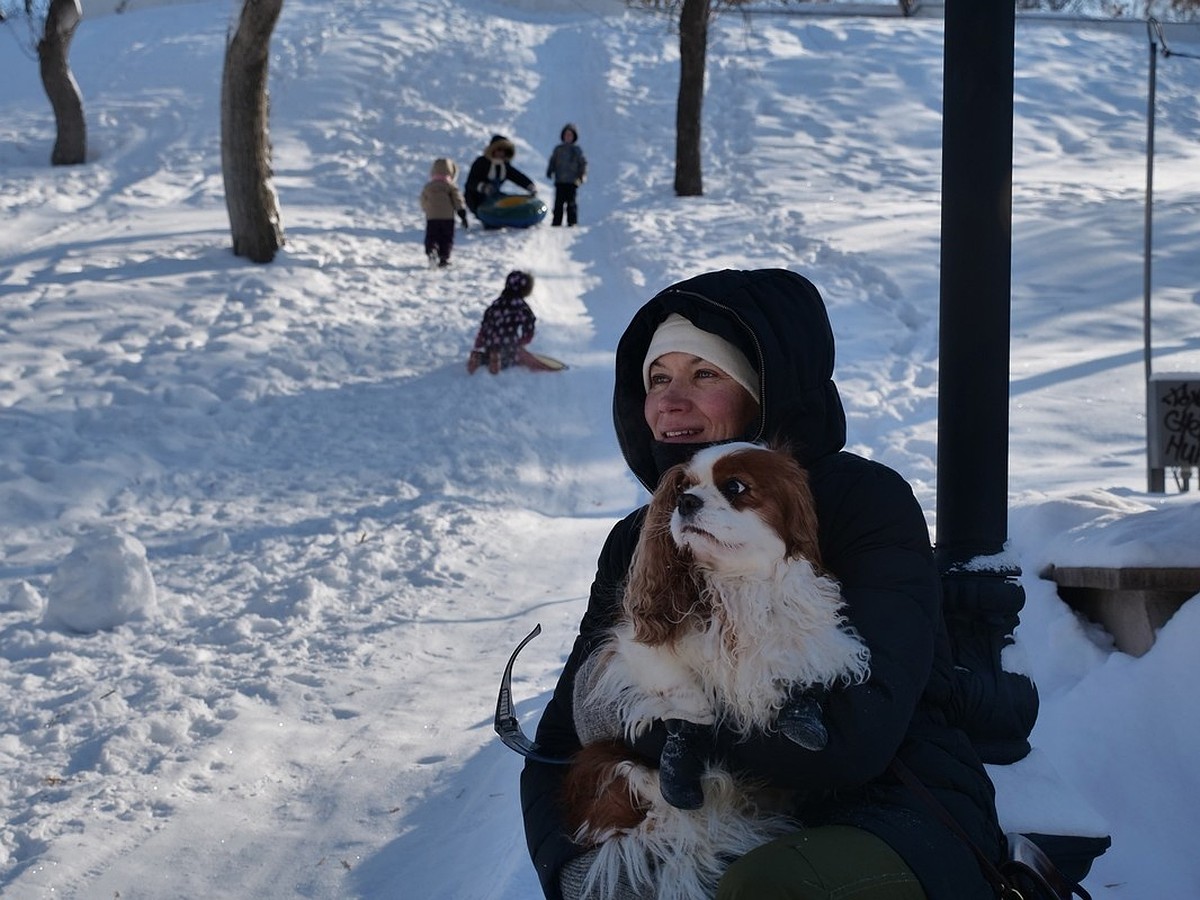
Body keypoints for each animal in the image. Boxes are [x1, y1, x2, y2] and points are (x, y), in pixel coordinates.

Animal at [561, 444, 873, 900]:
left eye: (736, 487)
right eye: (682, 489)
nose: (687, 503)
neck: (735, 583)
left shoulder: (807, 633)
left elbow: (798, 663)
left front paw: (802, 712)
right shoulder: (633, 649)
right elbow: (686, 699)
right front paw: (686, 746)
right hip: (608, 766)